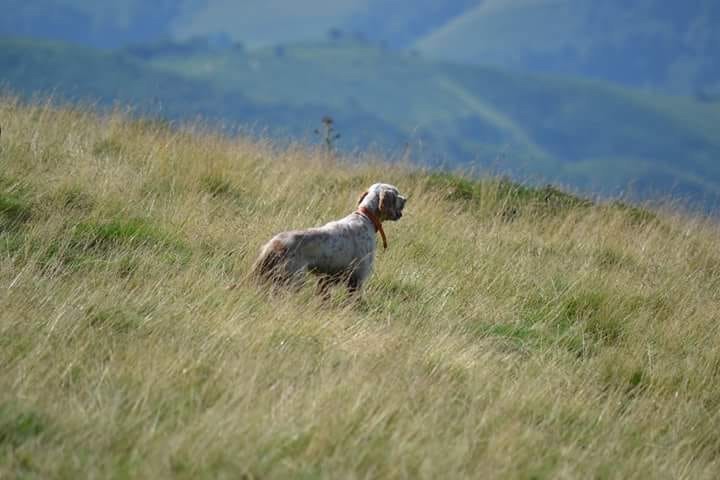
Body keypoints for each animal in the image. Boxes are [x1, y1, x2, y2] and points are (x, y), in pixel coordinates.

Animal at [255, 184, 408, 296]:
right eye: (396, 193)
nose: (405, 199)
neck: (366, 218)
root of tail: (272, 245)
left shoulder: (327, 279)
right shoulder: (357, 277)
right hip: (294, 278)